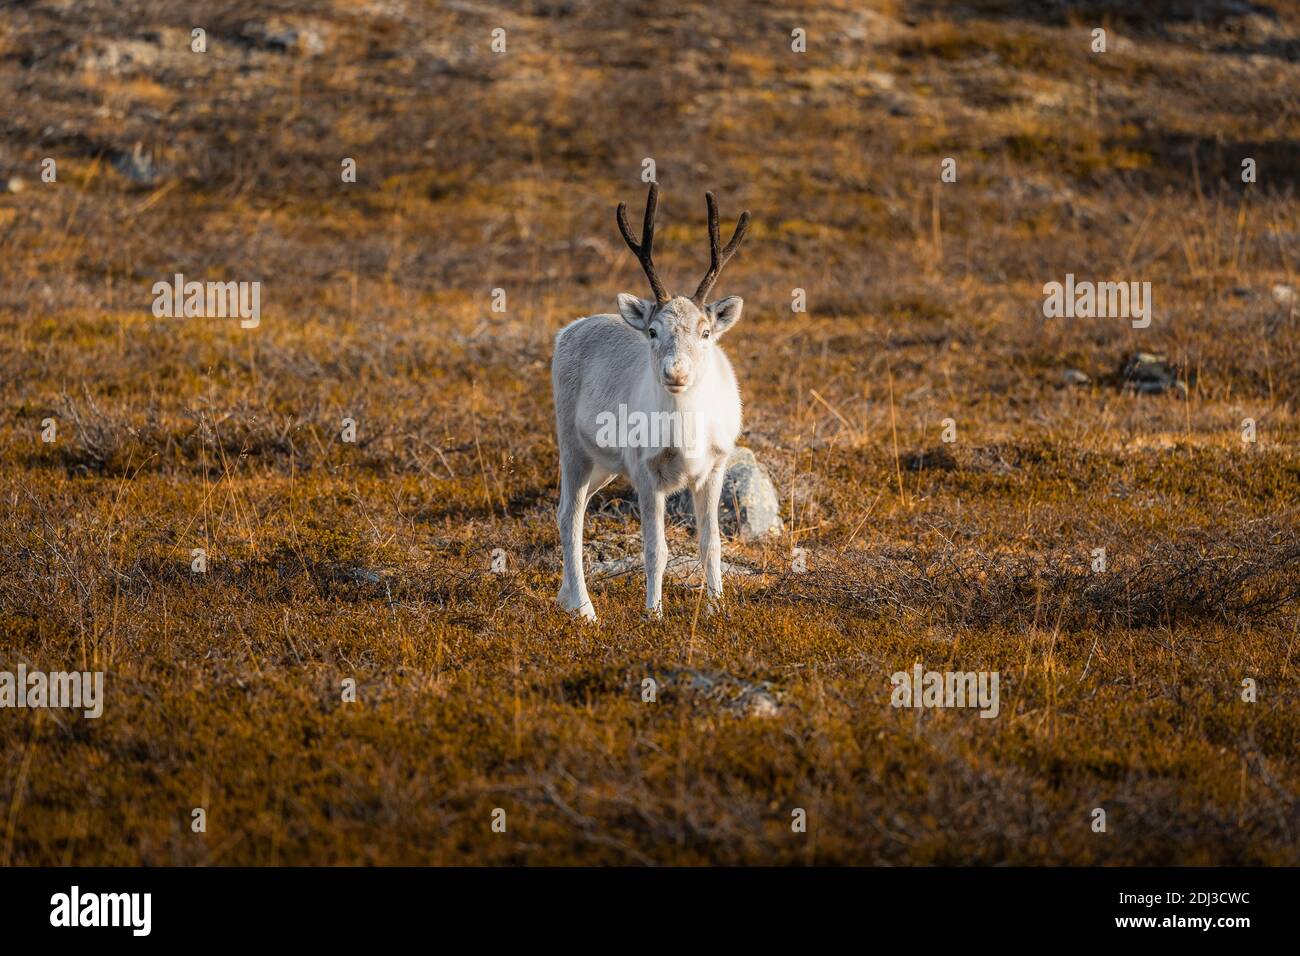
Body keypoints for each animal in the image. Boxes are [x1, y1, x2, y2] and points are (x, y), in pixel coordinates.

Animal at [551, 183, 751, 621]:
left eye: (706, 331)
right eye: (653, 330)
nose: (675, 373)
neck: (686, 435)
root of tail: (568, 329)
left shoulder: (715, 467)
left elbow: (711, 542)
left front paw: (716, 608)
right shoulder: (646, 472)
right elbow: (655, 549)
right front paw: (653, 615)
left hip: (604, 466)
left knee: (572, 509)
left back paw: (564, 597)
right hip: (572, 447)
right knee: (569, 515)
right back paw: (585, 608)